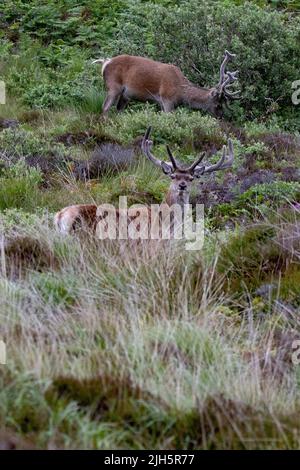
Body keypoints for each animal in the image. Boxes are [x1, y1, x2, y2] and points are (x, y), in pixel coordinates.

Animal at [92, 50, 240, 117]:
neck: (181, 92)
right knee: (105, 107)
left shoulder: (162, 103)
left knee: (118, 109)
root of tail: (105, 62)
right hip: (113, 86)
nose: (221, 116)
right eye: (218, 104)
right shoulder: (167, 99)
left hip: (125, 95)